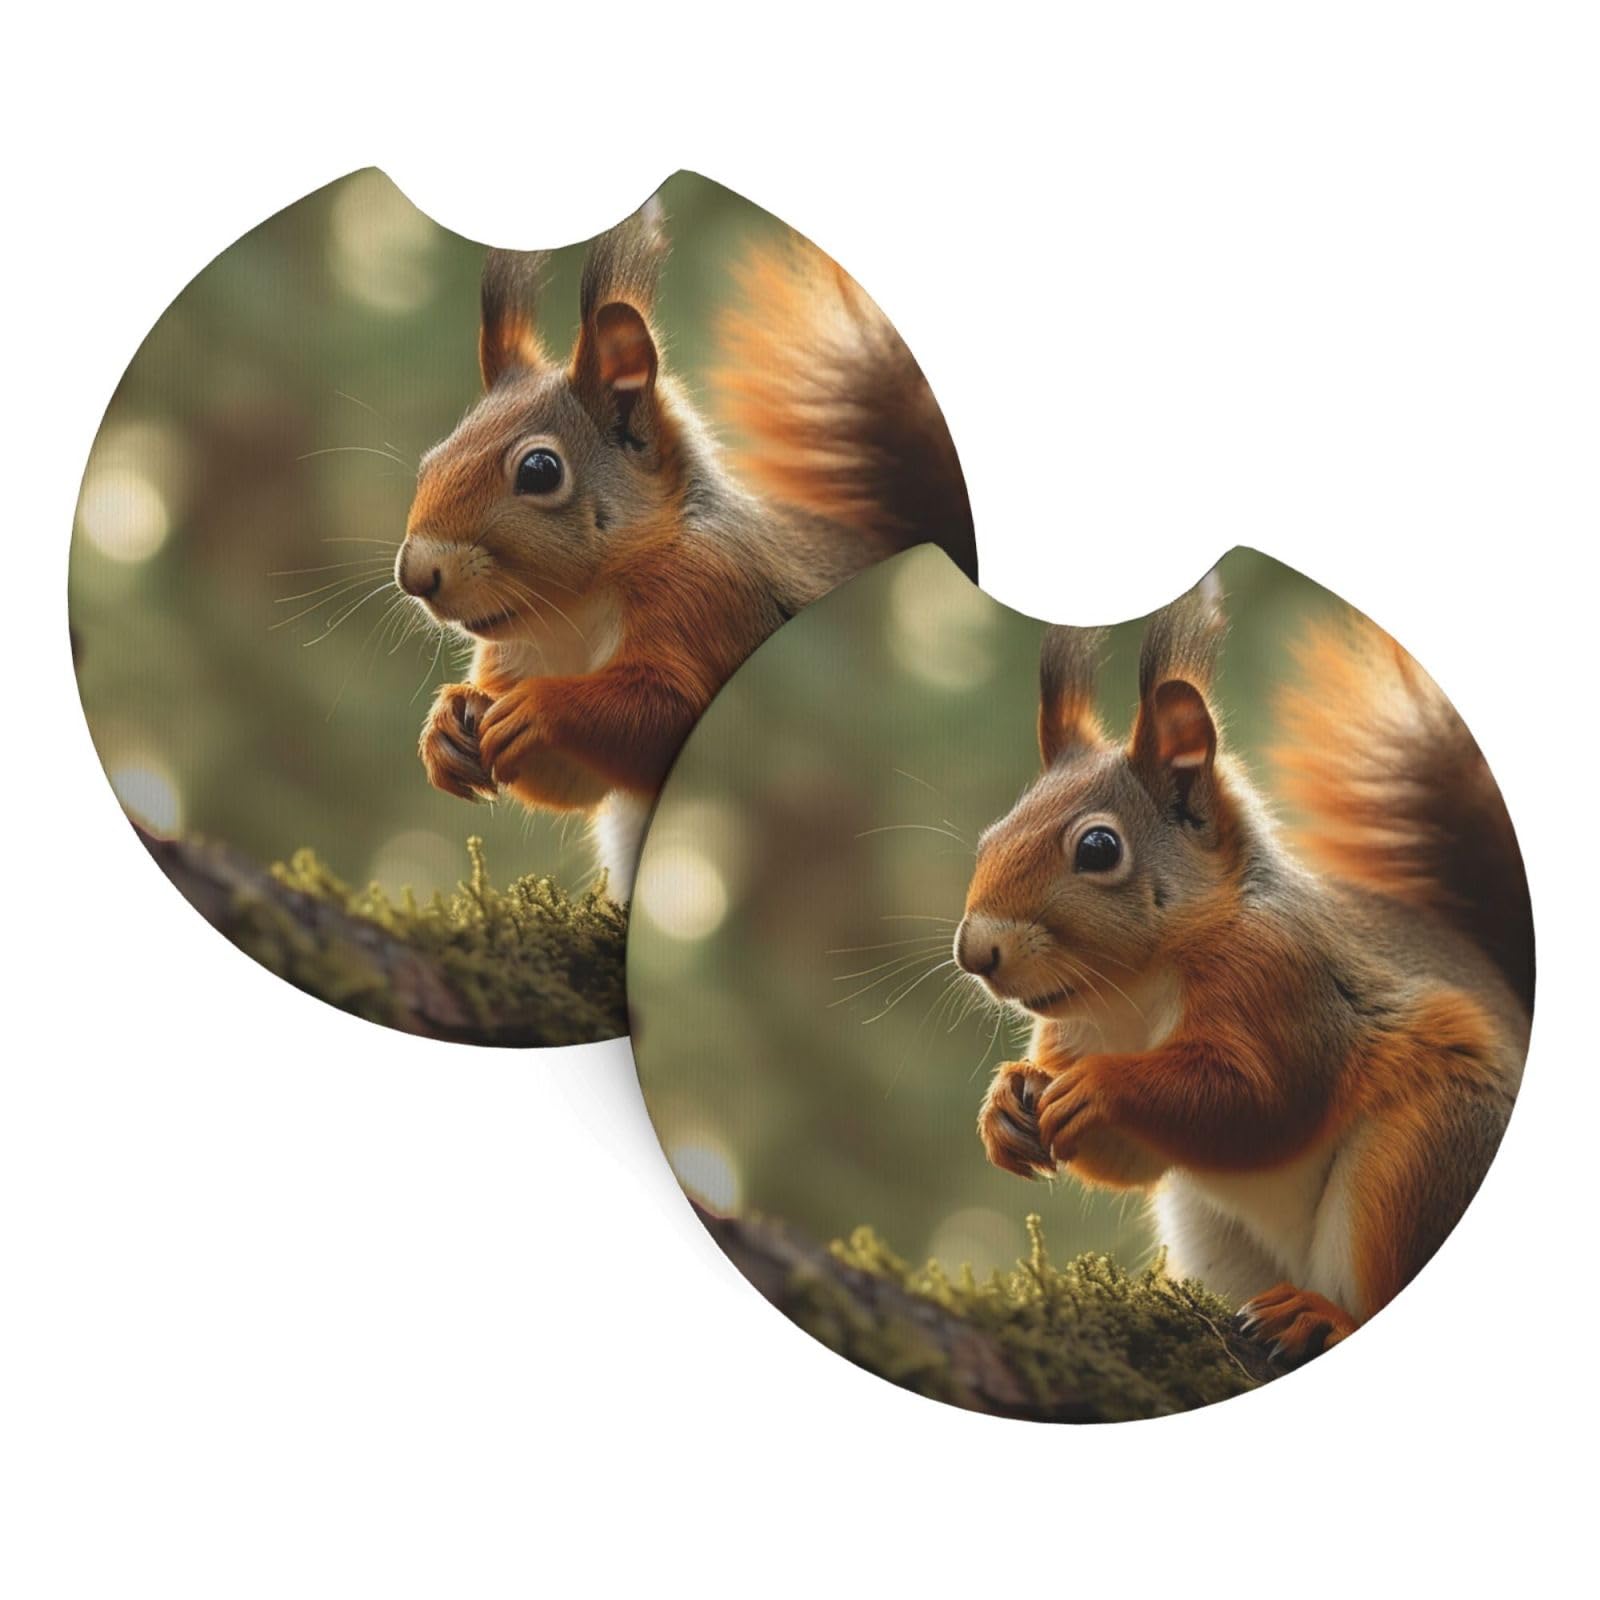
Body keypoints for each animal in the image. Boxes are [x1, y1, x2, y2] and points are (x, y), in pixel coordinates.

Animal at [395, 196, 973, 898]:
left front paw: (539, 707)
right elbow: (573, 783)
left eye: (539, 470)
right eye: (429, 462)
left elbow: (668, 711)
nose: (415, 574)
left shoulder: (711, 593)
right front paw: (448, 723)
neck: (578, 612)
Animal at [955, 574, 1533, 1365]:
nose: (974, 951)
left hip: (1422, 1155)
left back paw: (1322, 1316)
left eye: (1099, 848)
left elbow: (1256, 1098)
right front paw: (1007, 1103)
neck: (1136, 993)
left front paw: (1102, 1087)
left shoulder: (1284, 980)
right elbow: (1131, 1159)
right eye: (990, 838)